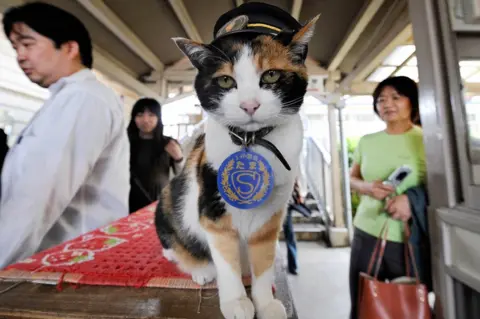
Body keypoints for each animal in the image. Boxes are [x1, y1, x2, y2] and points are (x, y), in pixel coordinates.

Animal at [154, 14, 318, 319]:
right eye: (226, 80)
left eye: (271, 75)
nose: (249, 105)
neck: (252, 142)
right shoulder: (213, 210)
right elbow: (226, 261)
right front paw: (236, 302)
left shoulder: (271, 216)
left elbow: (264, 262)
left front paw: (265, 303)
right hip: (169, 197)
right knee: (175, 246)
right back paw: (200, 269)